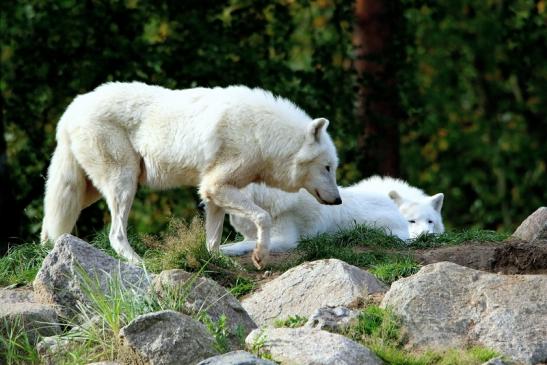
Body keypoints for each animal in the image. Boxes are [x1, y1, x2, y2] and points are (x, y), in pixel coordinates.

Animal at [42, 82, 340, 268]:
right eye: (327, 167)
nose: (338, 200)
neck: (261, 134)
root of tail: (72, 109)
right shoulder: (216, 186)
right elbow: (263, 217)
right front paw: (258, 255)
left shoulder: (213, 192)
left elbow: (213, 240)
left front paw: (219, 262)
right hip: (123, 184)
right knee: (115, 234)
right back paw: (138, 262)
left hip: (87, 192)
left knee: (50, 221)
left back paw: (47, 253)